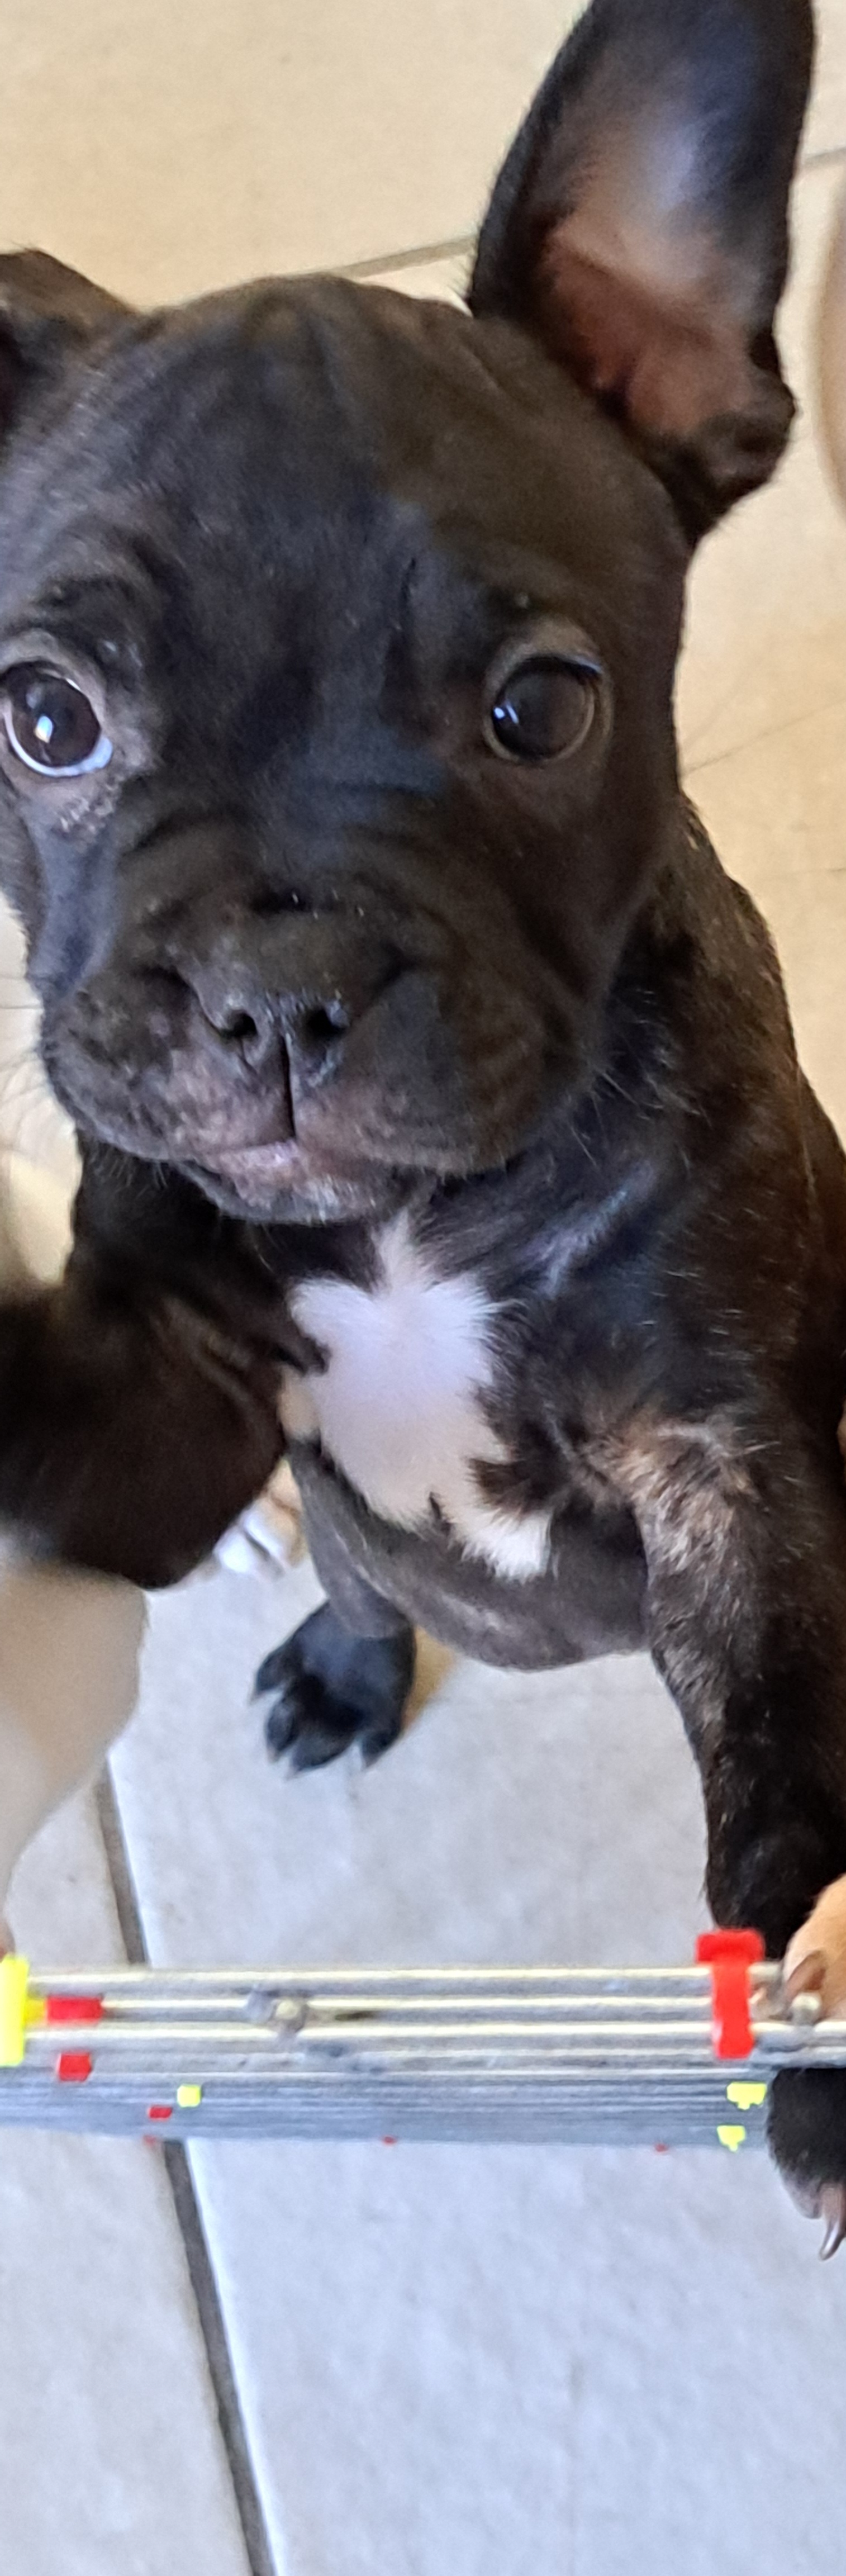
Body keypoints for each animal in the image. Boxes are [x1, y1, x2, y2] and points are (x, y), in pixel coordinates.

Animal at [0, 0, 844, 2238]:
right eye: (46, 720)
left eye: (538, 710)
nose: (272, 981)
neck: (406, 1224)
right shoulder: (159, 1394)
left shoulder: (725, 1463)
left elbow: (790, 1719)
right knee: (369, 1583)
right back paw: (340, 1659)